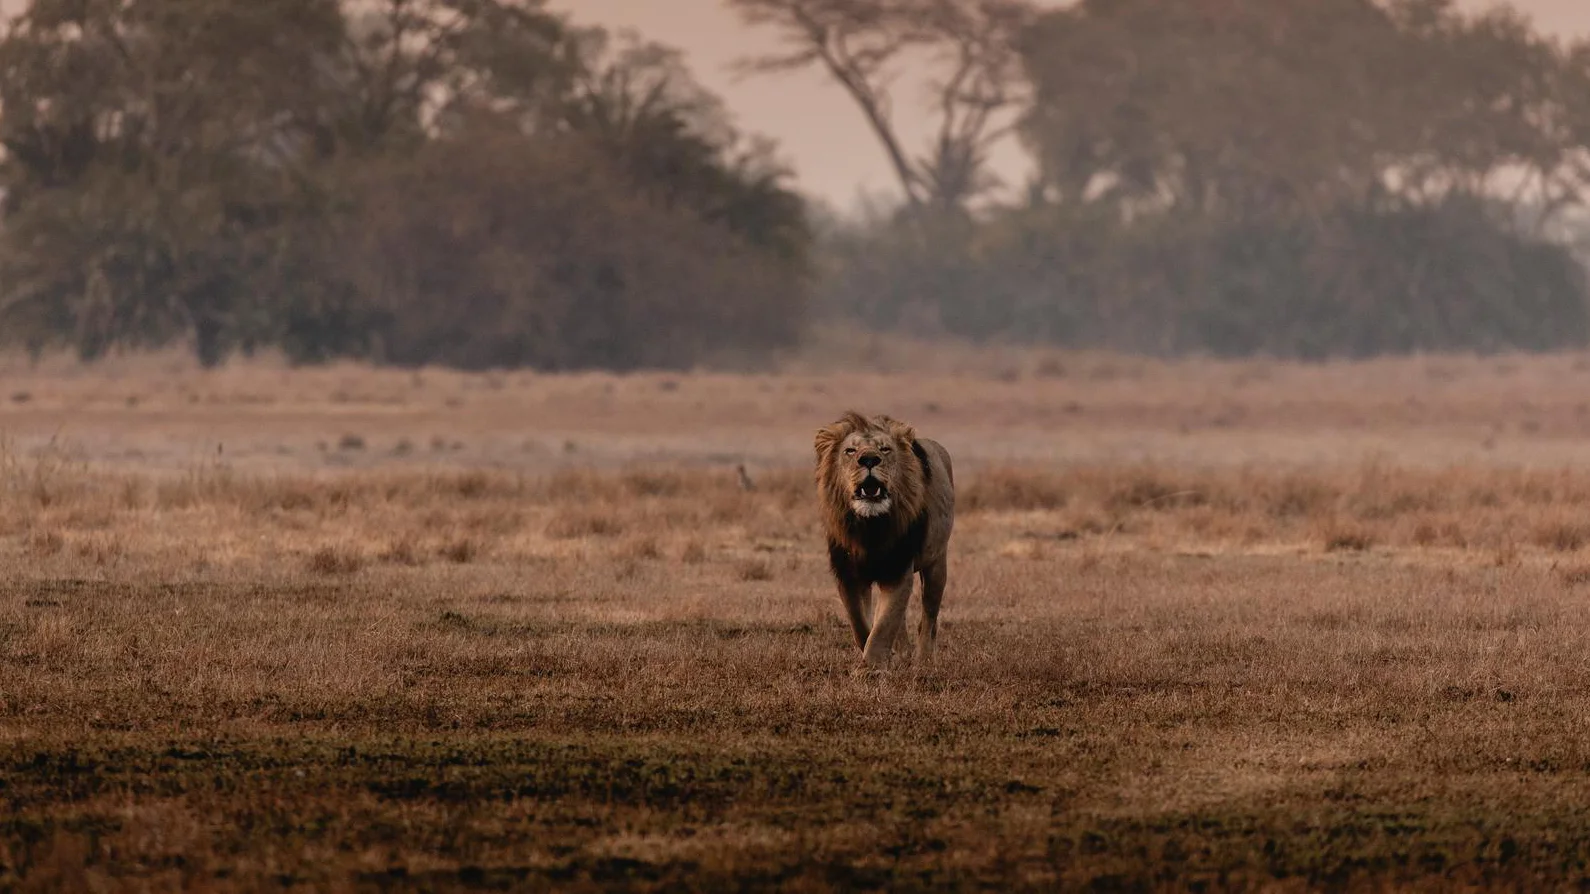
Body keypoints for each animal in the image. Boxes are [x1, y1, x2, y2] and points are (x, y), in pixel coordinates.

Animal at [814, 411, 955, 667]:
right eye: (850, 450)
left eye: (885, 449)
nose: (869, 459)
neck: (870, 527)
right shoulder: (848, 573)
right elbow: (861, 623)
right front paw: (879, 657)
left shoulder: (898, 568)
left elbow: (884, 625)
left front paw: (871, 668)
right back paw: (902, 652)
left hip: (937, 563)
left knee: (928, 616)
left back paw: (923, 658)